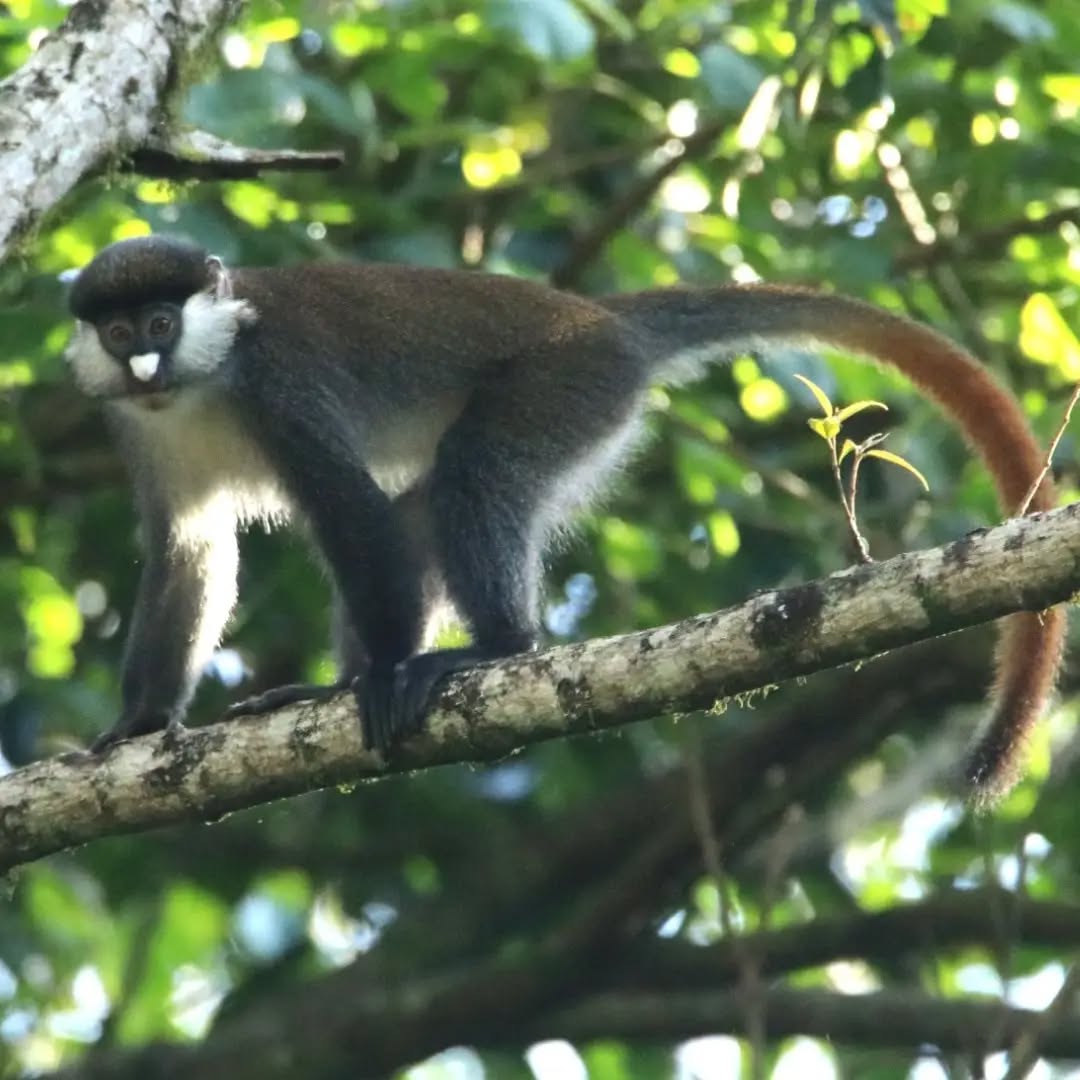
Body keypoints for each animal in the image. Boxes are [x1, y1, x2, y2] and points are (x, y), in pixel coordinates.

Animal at [64, 234, 1064, 800]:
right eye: (120, 333)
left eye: (160, 321)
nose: (145, 364)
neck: (203, 379)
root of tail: (598, 318)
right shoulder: (134, 427)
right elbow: (188, 545)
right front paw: (140, 724)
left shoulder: (281, 386)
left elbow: (350, 505)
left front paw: (377, 677)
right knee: (429, 503)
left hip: (569, 385)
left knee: (470, 477)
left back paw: (488, 650)